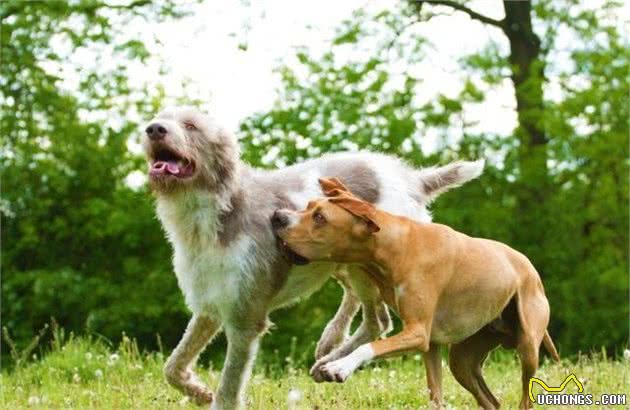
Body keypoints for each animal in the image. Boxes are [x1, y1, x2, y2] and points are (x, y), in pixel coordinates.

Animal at [146, 107, 486, 408]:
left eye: (190, 125)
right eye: (160, 118)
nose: (153, 129)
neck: (218, 207)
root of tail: (412, 180)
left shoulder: (246, 319)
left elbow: (228, 390)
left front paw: (211, 395)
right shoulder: (209, 307)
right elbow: (172, 366)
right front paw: (199, 392)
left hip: (364, 262)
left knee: (377, 321)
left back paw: (332, 359)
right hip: (342, 264)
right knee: (369, 313)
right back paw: (330, 346)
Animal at [274, 178, 560, 408]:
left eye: (320, 217)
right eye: (309, 205)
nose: (277, 216)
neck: (397, 247)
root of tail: (532, 271)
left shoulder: (418, 332)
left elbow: (371, 345)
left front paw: (339, 366)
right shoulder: (430, 344)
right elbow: (435, 396)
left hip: (528, 347)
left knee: (525, 398)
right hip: (462, 361)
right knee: (490, 400)